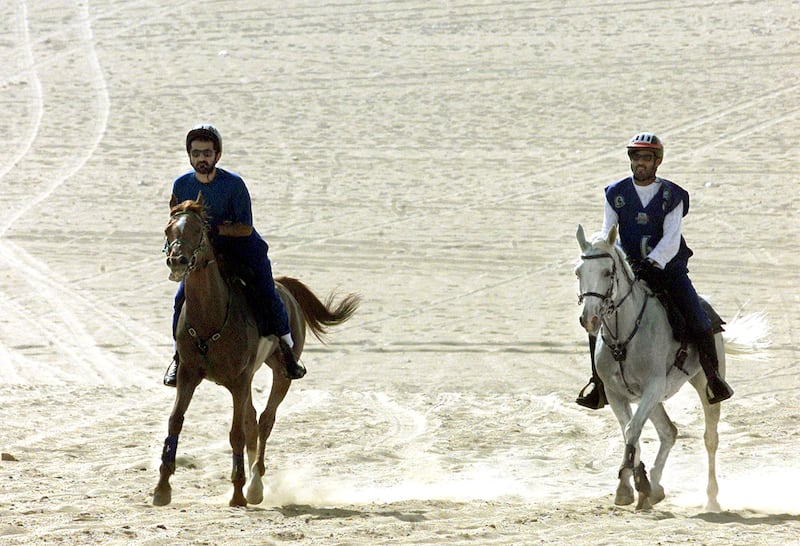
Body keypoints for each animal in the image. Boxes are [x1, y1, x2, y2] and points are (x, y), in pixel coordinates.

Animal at [154, 197, 360, 506]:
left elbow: (236, 432)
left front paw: (238, 492)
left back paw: (255, 484)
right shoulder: (189, 375)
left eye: (198, 230)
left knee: (264, 420)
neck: (211, 316)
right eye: (169, 229)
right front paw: (162, 487)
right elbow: (175, 422)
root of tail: (284, 286)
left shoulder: (240, 380)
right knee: (253, 419)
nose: (176, 261)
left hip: (280, 373)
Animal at [576, 222, 768, 510]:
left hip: (703, 385)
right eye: (578, 272)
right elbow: (629, 432)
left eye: (607, 272)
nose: (590, 318)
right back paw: (655, 487)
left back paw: (710, 498)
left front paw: (627, 486)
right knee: (669, 432)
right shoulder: (616, 393)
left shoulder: (653, 387)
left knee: (710, 439)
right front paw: (635, 485)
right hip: (652, 398)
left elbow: (632, 430)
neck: (624, 338)